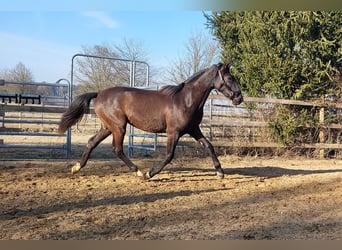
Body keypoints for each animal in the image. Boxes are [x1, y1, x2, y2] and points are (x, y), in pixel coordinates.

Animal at [58, 63, 243, 179]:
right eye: (229, 78)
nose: (239, 98)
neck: (186, 100)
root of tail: (99, 94)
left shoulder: (193, 129)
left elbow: (209, 146)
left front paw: (220, 172)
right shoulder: (173, 132)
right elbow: (169, 155)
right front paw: (150, 173)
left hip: (107, 127)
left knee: (91, 142)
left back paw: (76, 167)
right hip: (119, 127)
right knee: (117, 149)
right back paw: (139, 172)